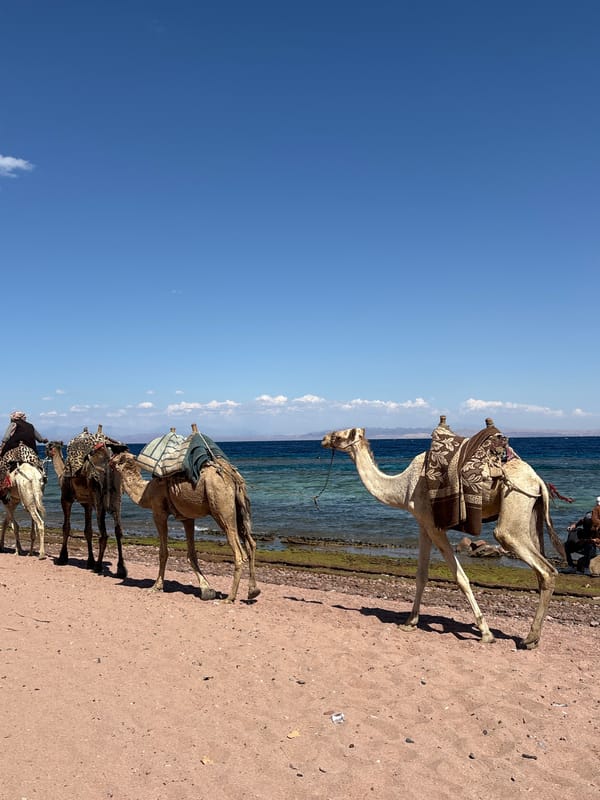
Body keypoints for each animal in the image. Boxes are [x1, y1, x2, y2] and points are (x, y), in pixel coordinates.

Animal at [46, 437, 127, 578]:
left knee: (104, 533)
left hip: (97, 491)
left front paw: (62, 558)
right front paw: (90, 561)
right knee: (118, 530)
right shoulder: (87, 504)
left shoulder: (66, 498)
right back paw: (121, 569)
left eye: (49, 446)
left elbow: (66, 527)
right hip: (117, 493)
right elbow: (88, 531)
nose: (46, 450)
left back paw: (98, 566)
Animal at [109, 451, 260, 603]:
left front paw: (156, 586)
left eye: (116, 457)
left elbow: (163, 552)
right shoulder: (187, 518)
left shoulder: (158, 512)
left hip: (220, 506)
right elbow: (191, 554)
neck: (146, 492)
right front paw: (207, 589)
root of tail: (232, 474)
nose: (110, 459)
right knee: (251, 543)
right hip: (239, 508)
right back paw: (253, 591)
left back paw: (229, 598)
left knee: (238, 551)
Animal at [321, 426, 566, 649]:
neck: (403, 488)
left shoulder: (435, 526)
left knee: (543, 568)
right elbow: (421, 575)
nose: (324, 438)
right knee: (542, 570)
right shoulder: (423, 525)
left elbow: (460, 578)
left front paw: (486, 633)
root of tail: (538, 481)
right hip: (532, 512)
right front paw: (410, 622)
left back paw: (529, 639)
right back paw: (533, 638)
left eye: (340, 435)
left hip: (513, 504)